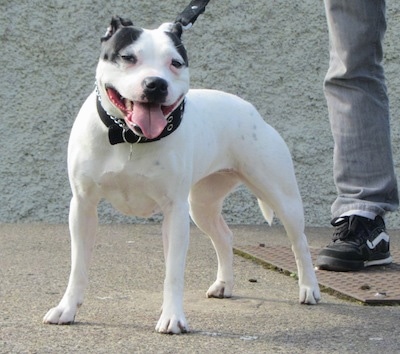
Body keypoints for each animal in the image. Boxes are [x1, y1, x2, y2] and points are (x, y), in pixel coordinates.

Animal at [42, 4, 320, 334]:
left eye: (175, 63)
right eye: (128, 57)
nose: (155, 84)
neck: (129, 137)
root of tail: (250, 110)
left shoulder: (174, 212)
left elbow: (173, 272)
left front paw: (173, 317)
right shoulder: (83, 207)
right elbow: (78, 268)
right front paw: (67, 308)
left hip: (282, 197)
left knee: (300, 242)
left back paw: (309, 288)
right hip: (202, 206)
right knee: (224, 237)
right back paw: (224, 284)